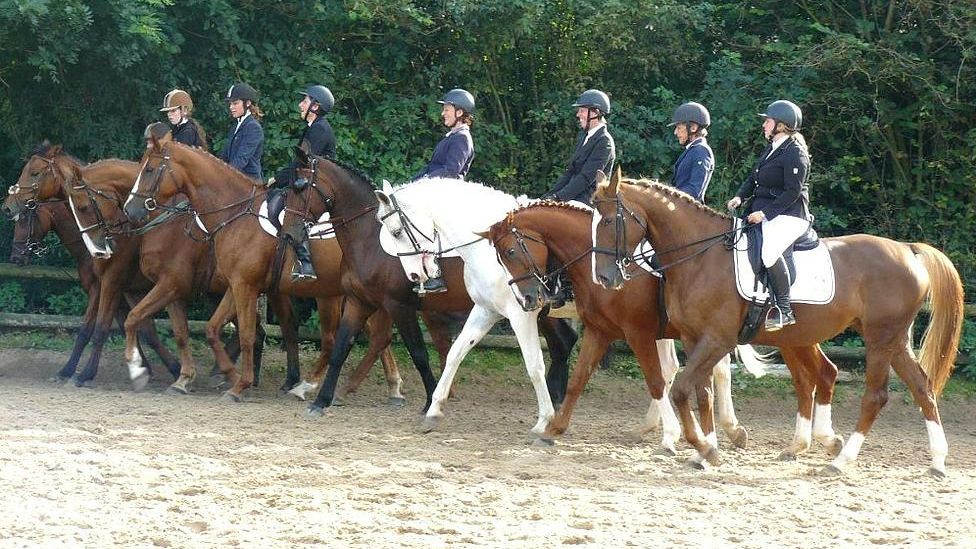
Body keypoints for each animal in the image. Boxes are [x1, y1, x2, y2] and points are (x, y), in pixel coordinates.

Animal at [123, 130, 413, 404]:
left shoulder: (218, 285)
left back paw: (315, 387)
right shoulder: (235, 285)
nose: (130, 209)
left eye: (149, 170)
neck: (234, 214)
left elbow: (246, 334)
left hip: (337, 295)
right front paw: (228, 376)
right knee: (374, 338)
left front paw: (238, 384)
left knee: (349, 339)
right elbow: (211, 330)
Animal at [278, 151, 578, 417]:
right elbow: (341, 347)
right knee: (563, 341)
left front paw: (430, 399)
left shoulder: (399, 306)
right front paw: (321, 400)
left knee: (563, 341)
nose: (289, 235)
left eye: (300, 188)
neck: (370, 239)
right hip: (537, 304)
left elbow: (419, 353)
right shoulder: (358, 301)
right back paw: (556, 397)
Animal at [591, 170, 963, 476]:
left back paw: (840, 461)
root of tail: (907, 249)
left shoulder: (717, 340)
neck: (701, 257)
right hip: (891, 340)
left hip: (879, 339)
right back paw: (936, 461)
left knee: (875, 395)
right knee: (921, 387)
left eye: (609, 221)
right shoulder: (693, 339)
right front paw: (705, 451)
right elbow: (701, 393)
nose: (605, 278)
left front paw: (706, 449)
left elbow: (682, 388)